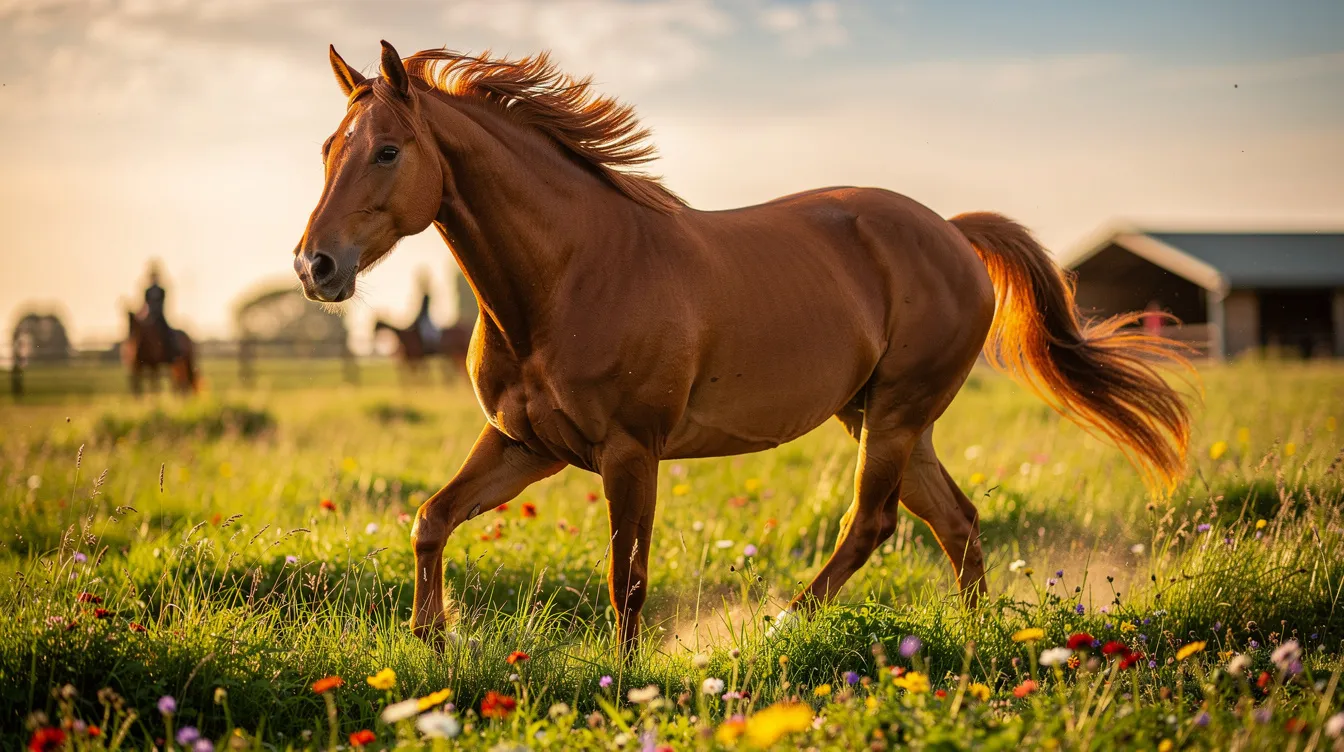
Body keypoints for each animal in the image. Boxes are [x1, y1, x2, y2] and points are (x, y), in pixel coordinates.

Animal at [293, 42, 1193, 653]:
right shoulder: (525, 446)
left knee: (872, 523)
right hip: (880, 417)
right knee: (958, 523)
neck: (569, 274)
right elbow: (431, 518)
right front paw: (430, 643)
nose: (315, 265)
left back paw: (777, 628)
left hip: (897, 417)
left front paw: (624, 681)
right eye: (327, 149)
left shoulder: (630, 451)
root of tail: (952, 233)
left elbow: (626, 581)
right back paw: (975, 644)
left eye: (388, 150)